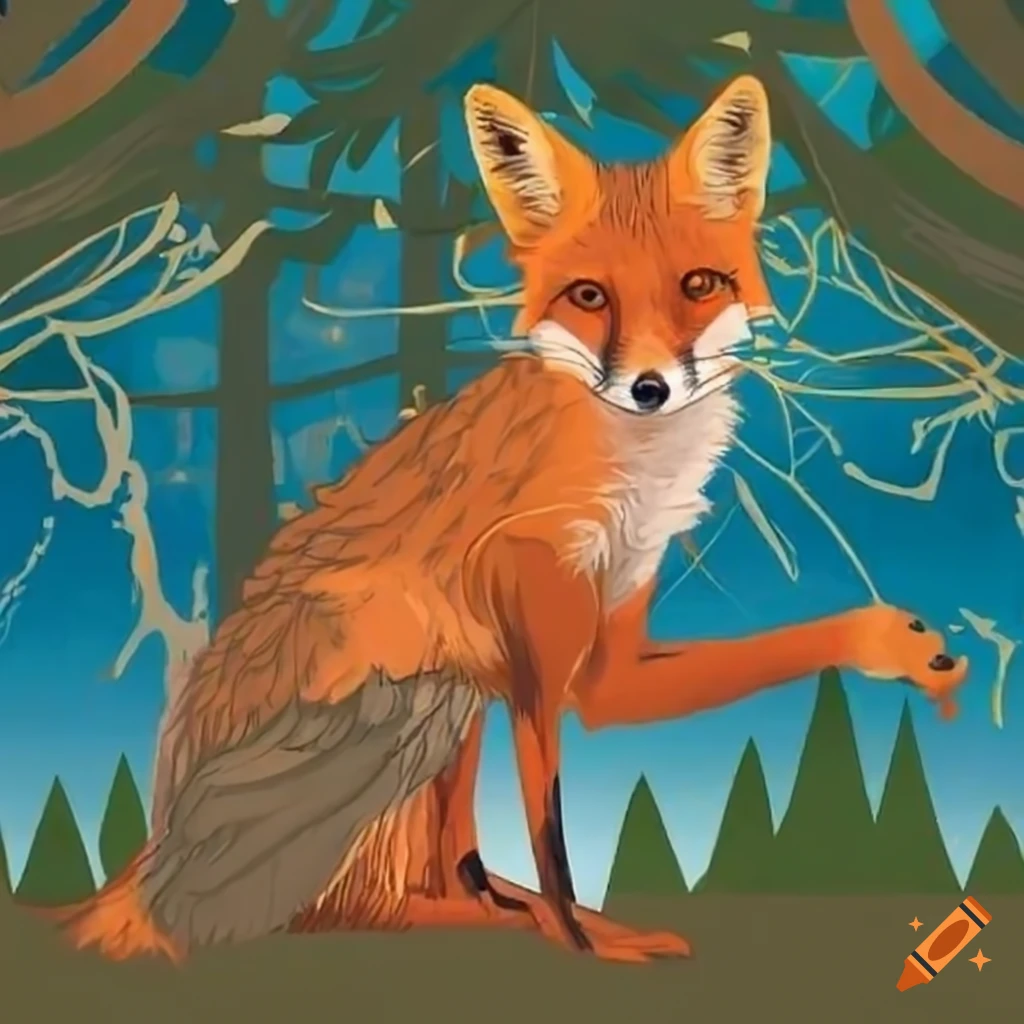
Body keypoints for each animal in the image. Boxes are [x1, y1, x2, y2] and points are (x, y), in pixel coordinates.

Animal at [56, 75, 967, 965]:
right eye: (590, 296)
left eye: (698, 285)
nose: (650, 388)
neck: (627, 474)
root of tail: (149, 860)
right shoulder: (535, 623)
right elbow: (549, 829)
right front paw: (584, 946)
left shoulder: (604, 651)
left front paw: (894, 646)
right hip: (412, 668)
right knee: (357, 904)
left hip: (455, 690)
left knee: (441, 870)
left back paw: (498, 910)